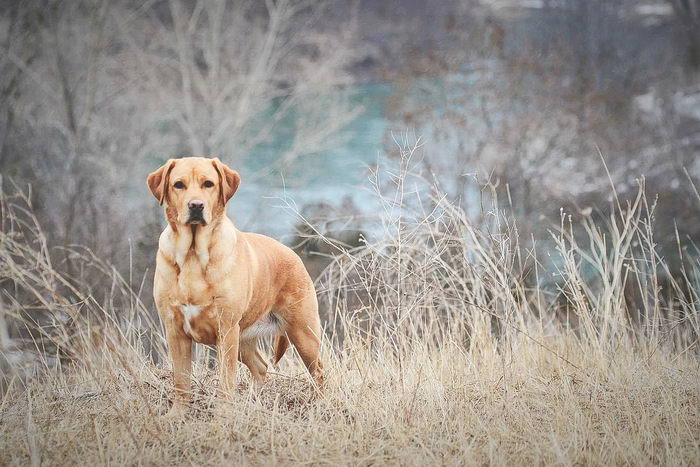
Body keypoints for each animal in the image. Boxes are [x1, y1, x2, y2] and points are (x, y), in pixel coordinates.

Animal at [149, 158, 324, 416]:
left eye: (208, 184)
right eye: (178, 185)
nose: (196, 206)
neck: (193, 255)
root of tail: (292, 253)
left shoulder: (226, 329)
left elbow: (225, 379)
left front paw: (223, 413)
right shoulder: (176, 331)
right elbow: (181, 380)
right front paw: (177, 414)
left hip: (303, 334)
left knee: (319, 371)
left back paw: (321, 404)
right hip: (243, 339)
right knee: (261, 367)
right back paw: (254, 403)